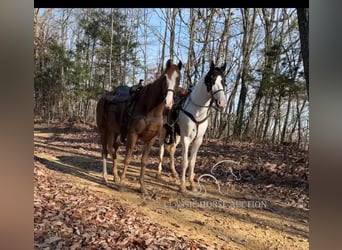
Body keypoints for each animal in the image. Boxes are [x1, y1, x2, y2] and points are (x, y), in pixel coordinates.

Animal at [95, 59, 183, 193]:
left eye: (178, 79)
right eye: (165, 77)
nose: (168, 102)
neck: (150, 109)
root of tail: (103, 98)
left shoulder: (151, 139)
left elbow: (144, 161)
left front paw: (142, 187)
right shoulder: (133, 135)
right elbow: (127, 159)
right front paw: (122, 184)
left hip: (114, 132)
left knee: (113, 150)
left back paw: (115, 176)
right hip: (103, 130)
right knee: (104, 152)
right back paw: (105, 178)